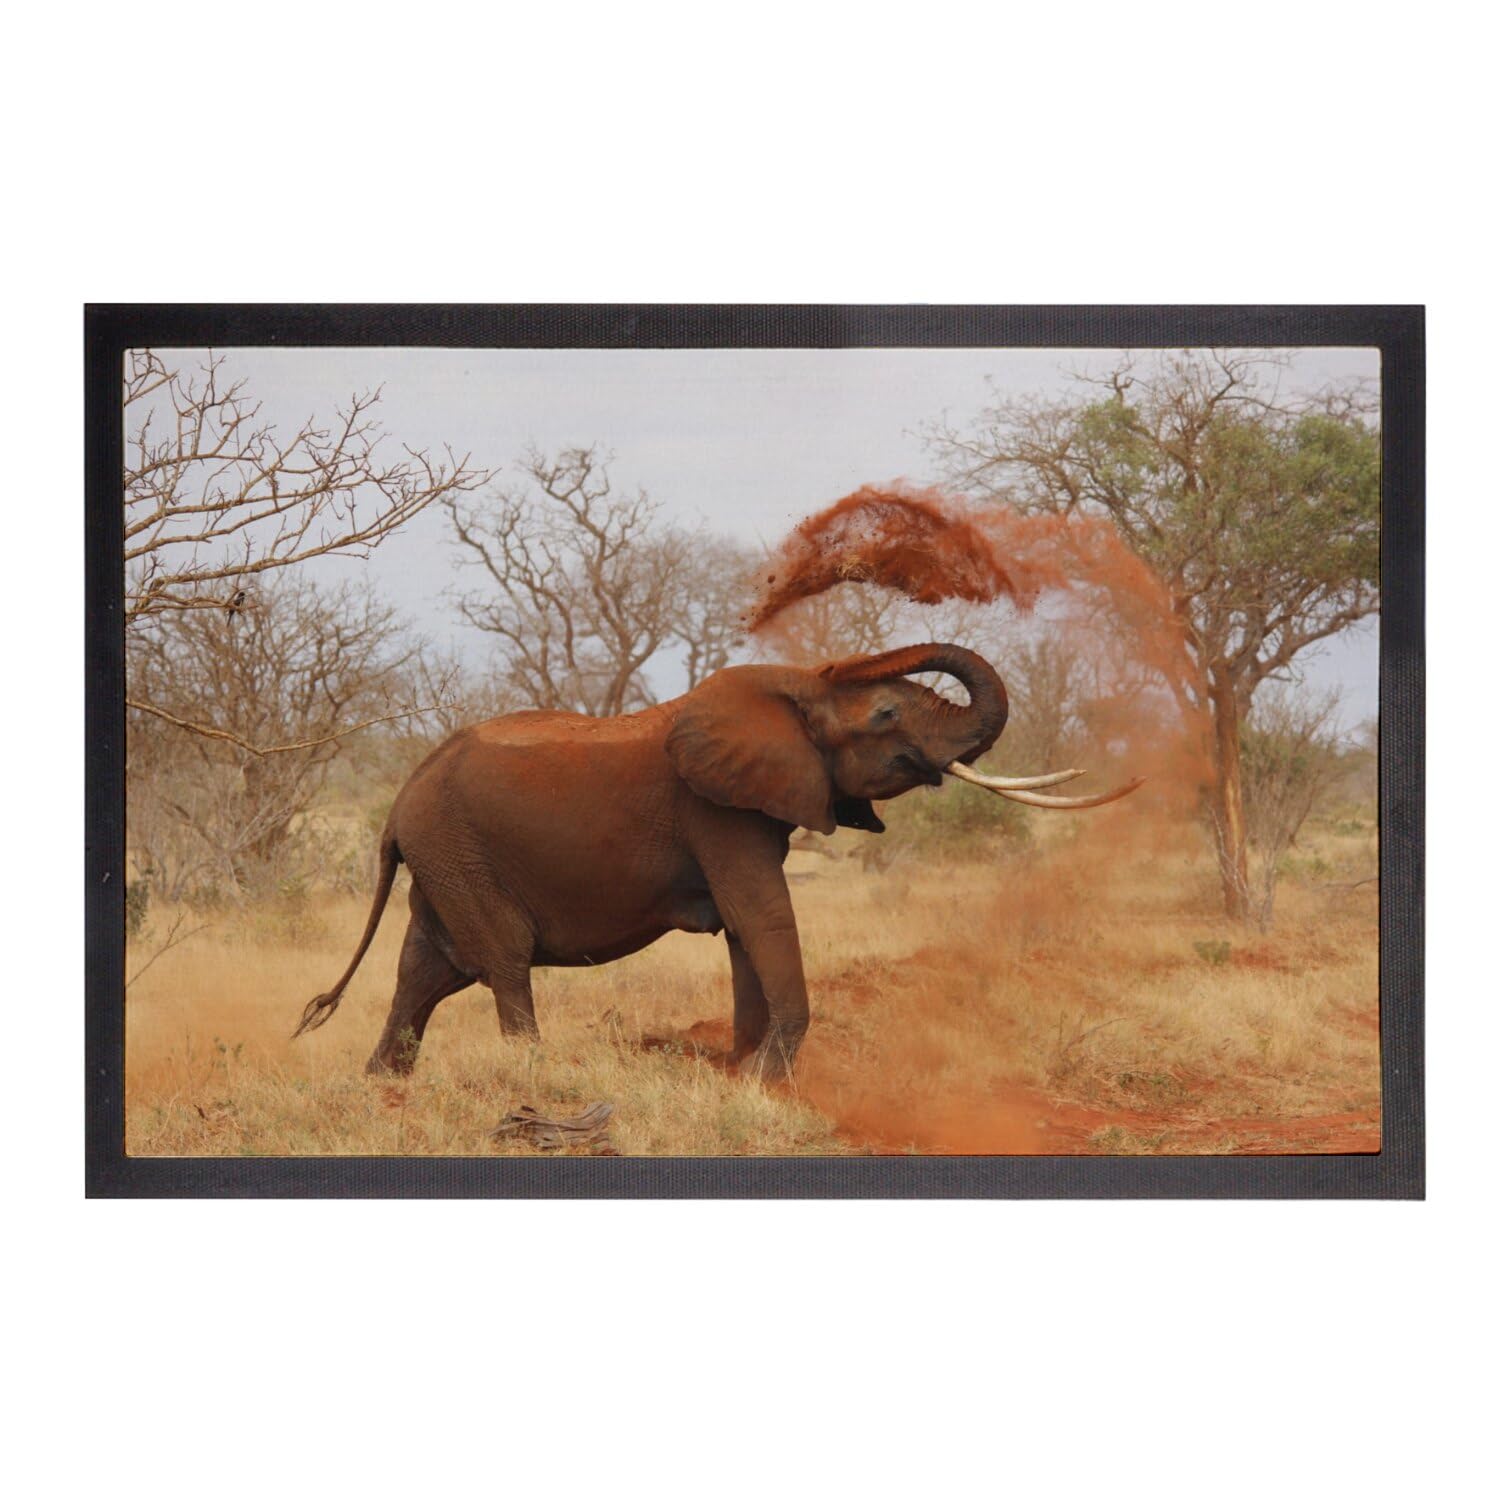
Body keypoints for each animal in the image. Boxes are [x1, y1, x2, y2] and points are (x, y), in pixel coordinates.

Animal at [294, 643, 1139, 1081]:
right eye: (888, 713)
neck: (792, 689)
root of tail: (400, 801)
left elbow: (744, 929)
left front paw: (741, 1072)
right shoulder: (716, 811)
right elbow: (762, 915)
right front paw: (766, 1082)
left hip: (444, 858)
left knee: (425, 970)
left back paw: (382, 1087)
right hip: (459, 852)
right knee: (499, 961)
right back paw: (534, 1076)